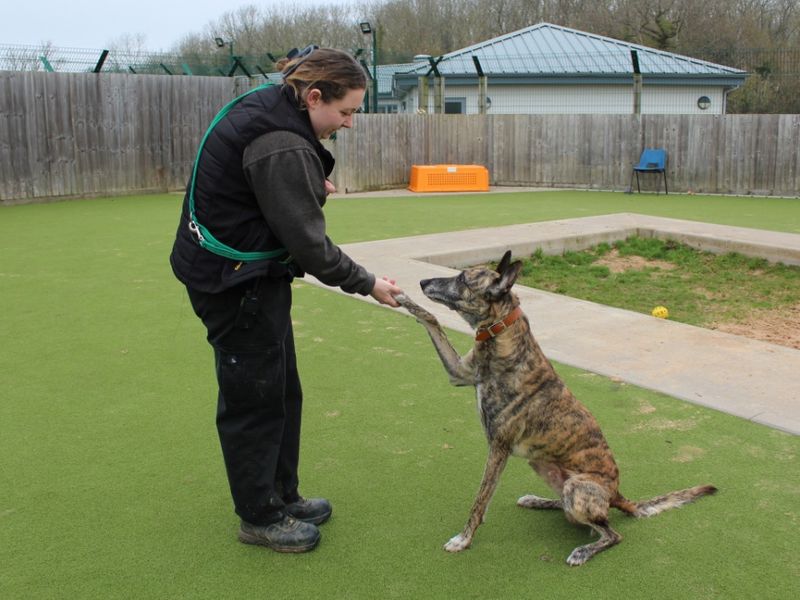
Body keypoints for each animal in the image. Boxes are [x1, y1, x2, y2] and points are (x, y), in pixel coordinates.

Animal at [396, 251, 716, 564]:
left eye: (462, 279)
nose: (423, 282)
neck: (502, 335)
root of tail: (616, 494)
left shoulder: (498, 448)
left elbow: (480, 500)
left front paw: (463, 539)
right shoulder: (457, 373)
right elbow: (432, 319)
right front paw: (402, 298)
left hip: (577, 487)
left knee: (611, 533)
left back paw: (583, 551)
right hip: (542, 465)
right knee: (568, 509)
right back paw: (537, 500)